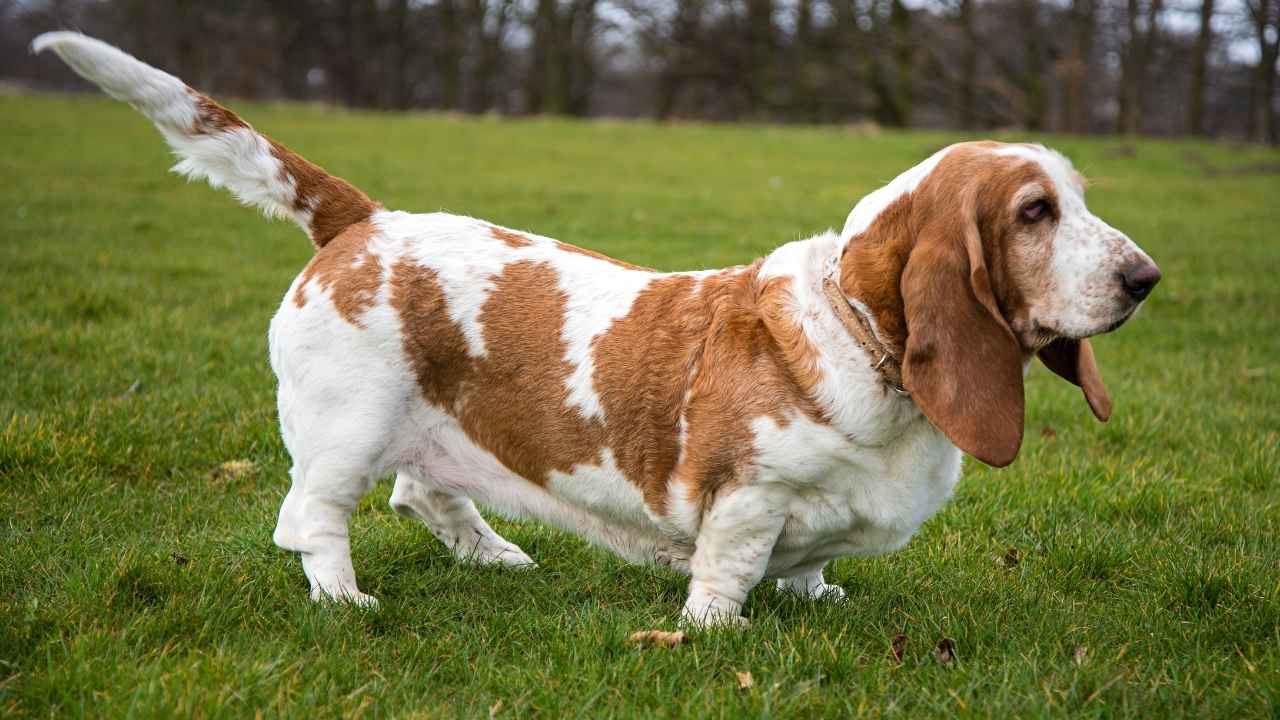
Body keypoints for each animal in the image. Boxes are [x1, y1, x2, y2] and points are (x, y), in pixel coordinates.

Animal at [40, 32, 1162, 622]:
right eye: (1033, 213)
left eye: (1078, 197)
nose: (1146, 278)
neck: (860, 338)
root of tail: (363, 220)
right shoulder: (745, 496)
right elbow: (730, 567)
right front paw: (716, 631)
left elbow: (811, 565)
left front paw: (820, 598)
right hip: (344, 430)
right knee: (312, 519)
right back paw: (347, 602)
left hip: (427, 424)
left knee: (422, 491)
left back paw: (495, 556)